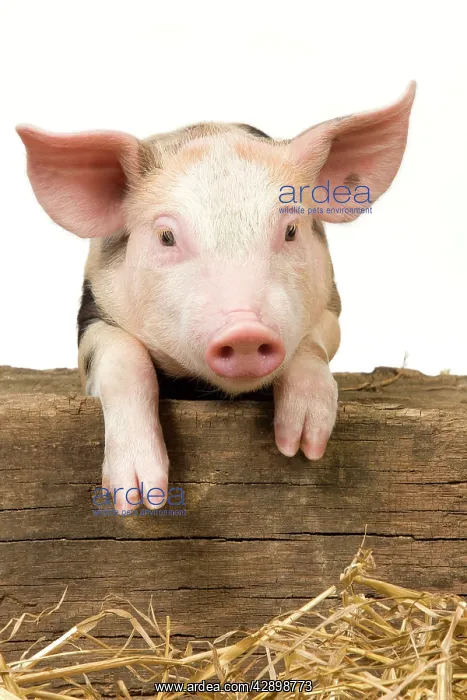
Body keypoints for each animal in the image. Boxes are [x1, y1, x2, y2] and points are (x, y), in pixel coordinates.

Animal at [17, 82, 416, 512]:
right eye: (166, 236)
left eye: (291, 230)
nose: (245, 330)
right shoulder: (93, 310)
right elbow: (123, 359)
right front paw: (138, 498)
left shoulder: (331, 305)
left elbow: (312, 345)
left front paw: (301, 446)